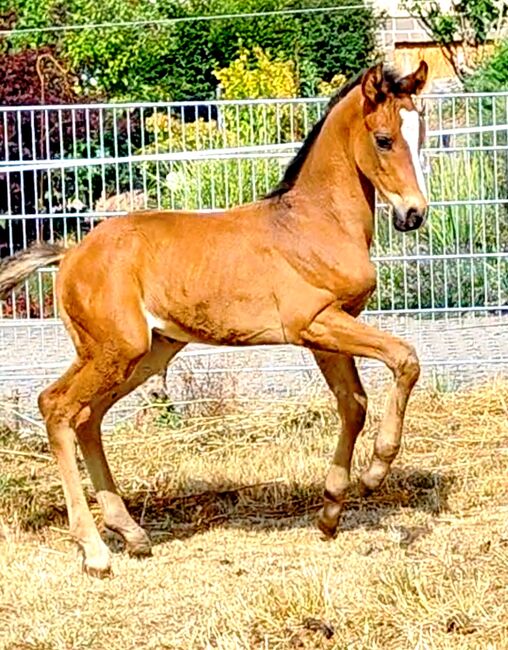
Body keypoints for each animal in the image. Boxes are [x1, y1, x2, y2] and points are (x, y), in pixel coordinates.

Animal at [0, 58, 428, 568]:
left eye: (421, 133)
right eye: (384, 139)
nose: (415, 214)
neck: (312, 222)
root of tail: (69, 256)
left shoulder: (329, 332)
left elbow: (353, 404)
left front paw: (330, 511)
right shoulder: (316, 322)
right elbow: (404, 358)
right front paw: (375, 473)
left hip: (142, 354)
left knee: (87, 418)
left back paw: (131, 532)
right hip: (115, 349)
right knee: (57, 407)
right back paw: (96, 550)